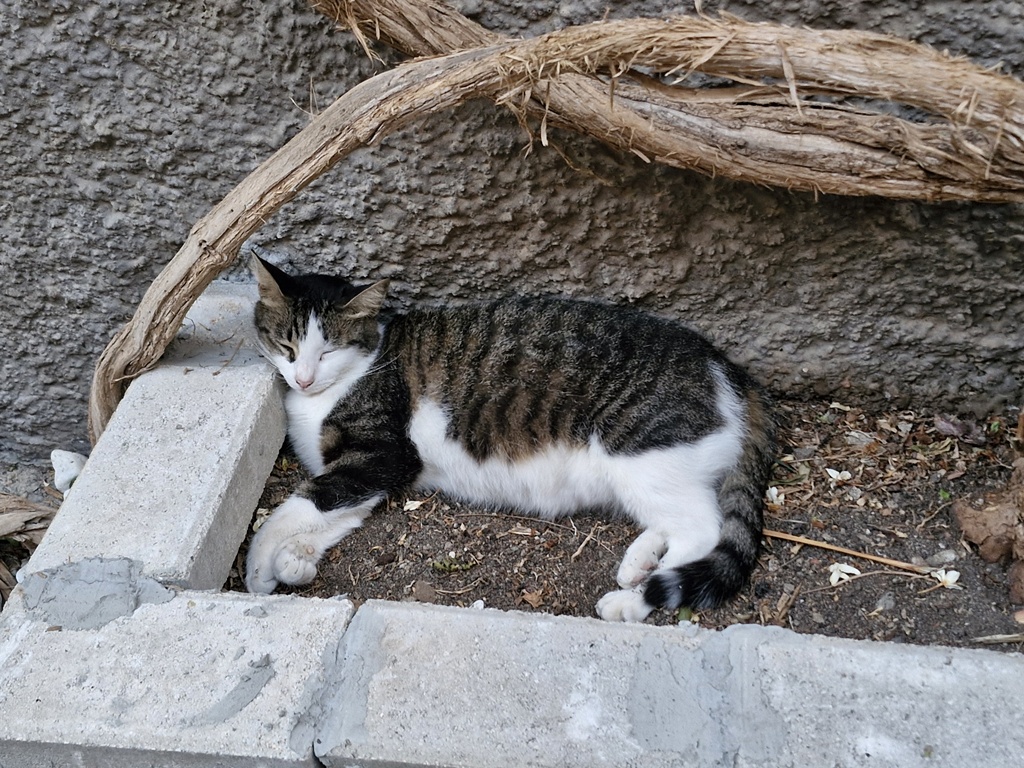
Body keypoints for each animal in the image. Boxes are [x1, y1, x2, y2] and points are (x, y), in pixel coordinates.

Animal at [245, 255, 776, 622]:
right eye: (287, 347)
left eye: (327, 351)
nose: (304, 379)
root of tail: (730, 372)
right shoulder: (364, 478)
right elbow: (330, 513)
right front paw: (291, 563)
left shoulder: (382, 456)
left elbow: (298, 505)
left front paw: (258, 564)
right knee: (677, 521)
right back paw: (640, 564)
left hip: (638, 452)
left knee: (702, 528)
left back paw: (633, 599)